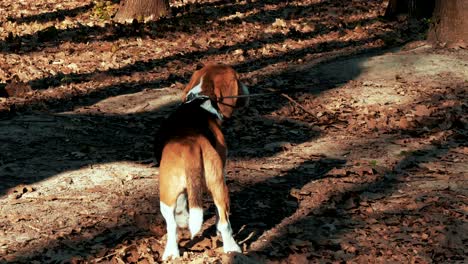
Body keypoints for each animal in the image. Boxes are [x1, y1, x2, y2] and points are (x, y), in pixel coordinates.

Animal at [154, 64, 249, 260]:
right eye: (239, 79)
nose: (248, 91)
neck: (200, 100)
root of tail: (189, 143)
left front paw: (183, 218)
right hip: (219, 186)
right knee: (224, 221)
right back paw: (232, 248)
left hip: (167, 194)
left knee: (171, 225)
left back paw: (171, 253)